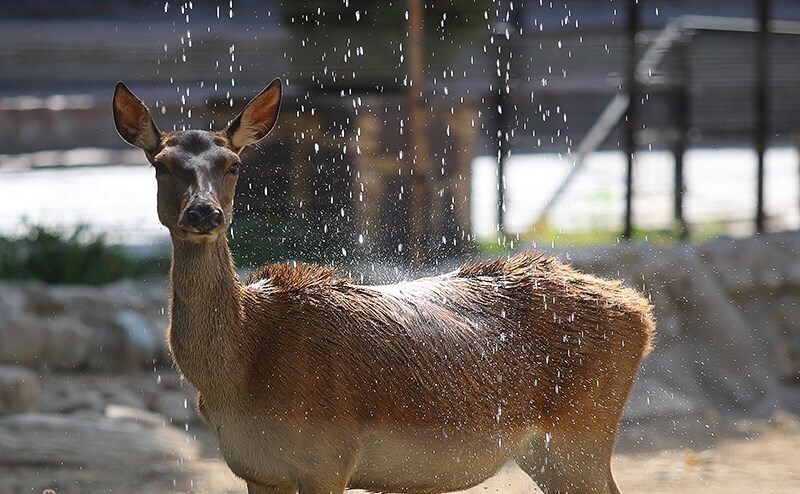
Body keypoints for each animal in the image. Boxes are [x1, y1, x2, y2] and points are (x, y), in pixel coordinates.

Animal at [115, 78, 656, 494]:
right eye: (160, 164)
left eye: (233, 164)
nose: (204, 213)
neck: (241, 372)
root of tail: (642, 311)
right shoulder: (255, 469)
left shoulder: (327, 457)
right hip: (549, 451)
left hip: (580, 435)